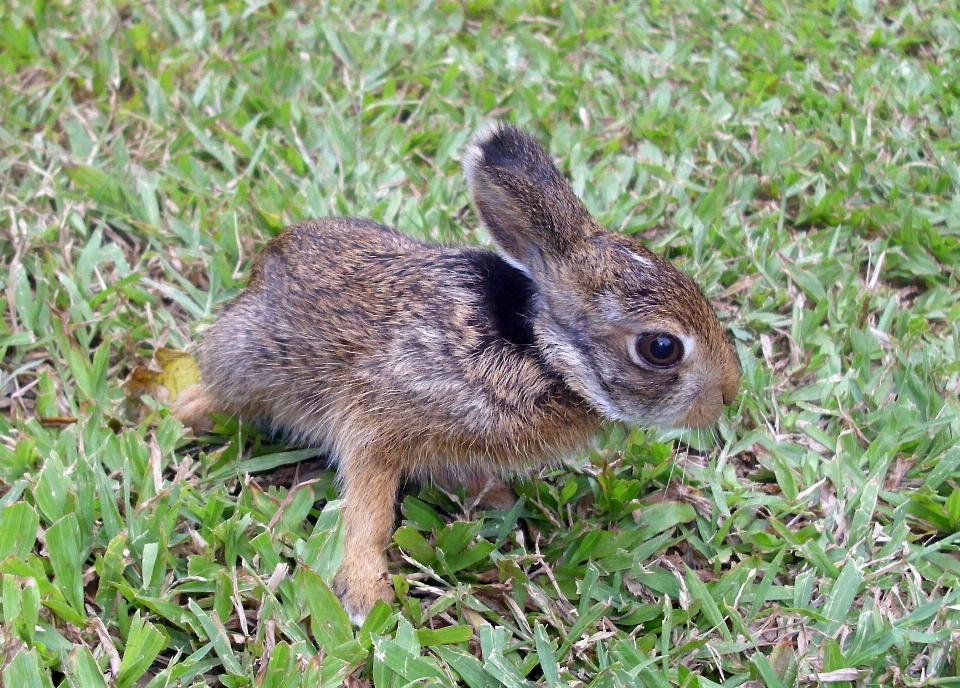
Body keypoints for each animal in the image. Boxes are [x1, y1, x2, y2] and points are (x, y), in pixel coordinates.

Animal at [174, 122, 744, 624]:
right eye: (661, 348)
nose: (728, 393)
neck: (543, 352)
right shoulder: (377, 421)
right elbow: (369, 513)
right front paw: (365, 597)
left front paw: (496, 500)